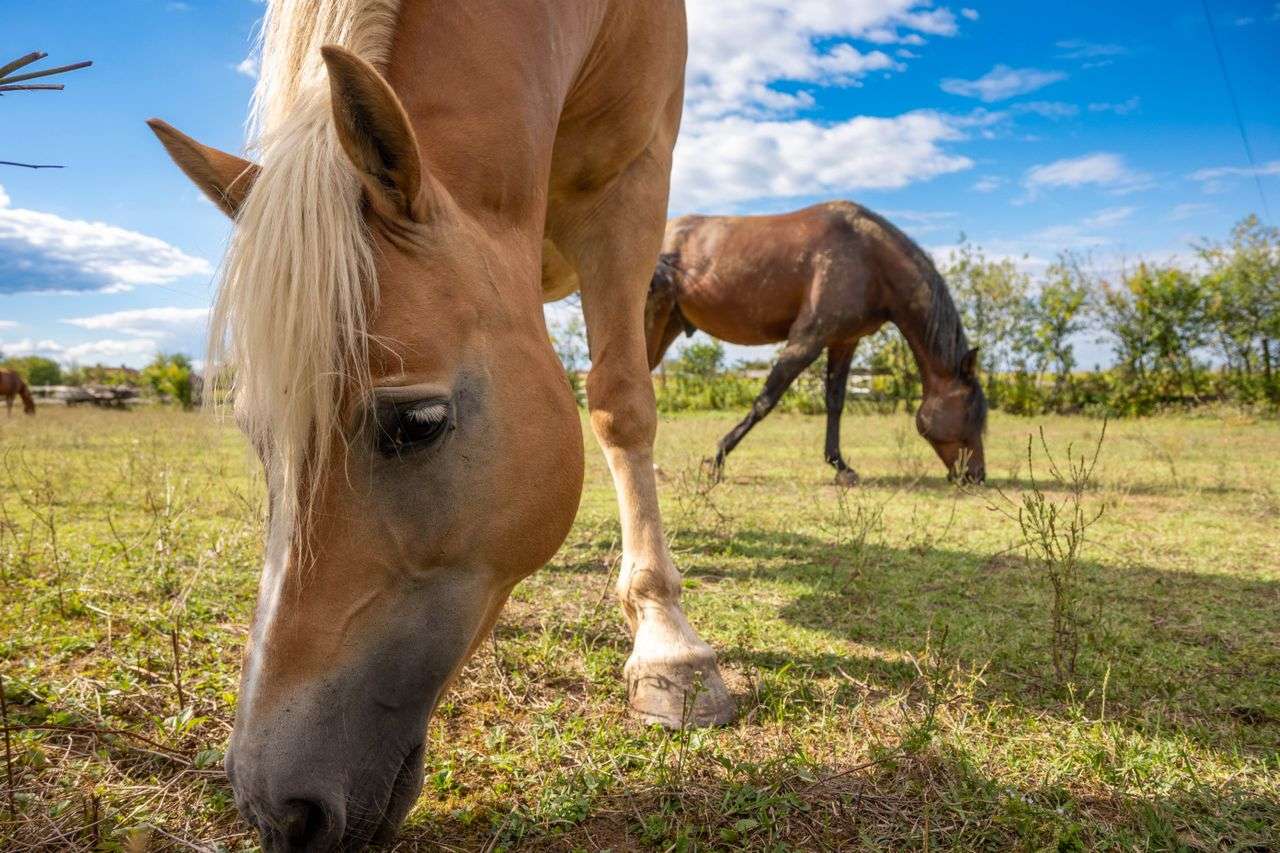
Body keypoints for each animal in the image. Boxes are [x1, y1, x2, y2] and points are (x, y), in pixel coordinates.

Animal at [148, 1, 729, 848]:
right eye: (259, 440)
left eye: (418, 422)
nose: (276, 808)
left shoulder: (631, 185)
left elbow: (622, 400)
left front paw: (669, 648)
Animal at [644, 202, 988, 484]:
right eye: (971, 414)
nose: (977, 475)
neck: (869, 256)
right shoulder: (806, 340)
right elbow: (765, 401)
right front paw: (716, 460)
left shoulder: (843, 342)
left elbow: (835, 402)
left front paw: (840, 466)